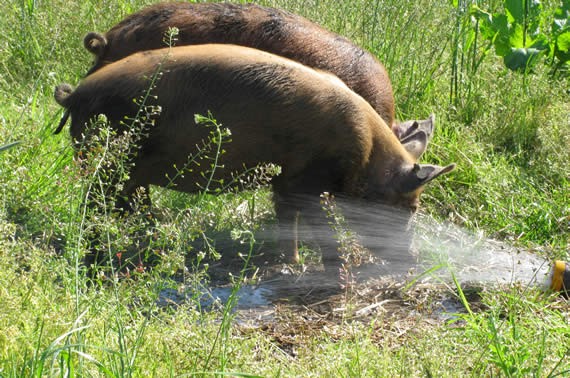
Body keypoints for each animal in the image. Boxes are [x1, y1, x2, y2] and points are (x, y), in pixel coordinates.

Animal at [53, 43, 452, 268]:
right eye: (411, 208)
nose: (414, 260)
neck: (367, 153)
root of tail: (75, 96)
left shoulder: (285, 181)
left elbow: (286, 221)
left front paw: (291, 263)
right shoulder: (308, 182)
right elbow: (319, 227)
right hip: (109, 159)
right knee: (95, 206)